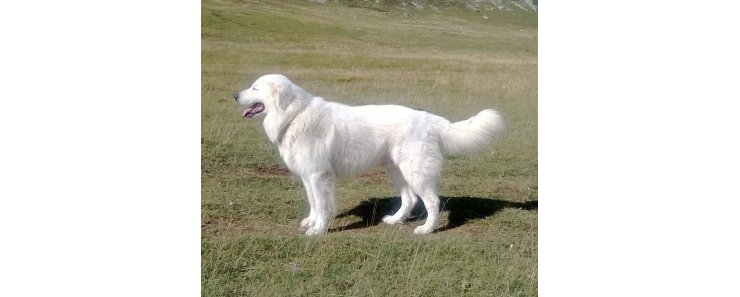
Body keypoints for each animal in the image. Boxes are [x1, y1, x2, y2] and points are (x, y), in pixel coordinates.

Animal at [237, 73, 502, 234]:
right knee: (410, 199)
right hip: (397, 171)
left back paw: (426, 229)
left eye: (255, 87)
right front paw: (310, 222)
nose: (235, 95)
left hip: (415, 173)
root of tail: (427, 119)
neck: (294, 116)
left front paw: (318, 230)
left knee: (432, 201)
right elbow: (313, 203)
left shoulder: (318, 176)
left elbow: (322, 206)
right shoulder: (307, 176)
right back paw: (395, 220)